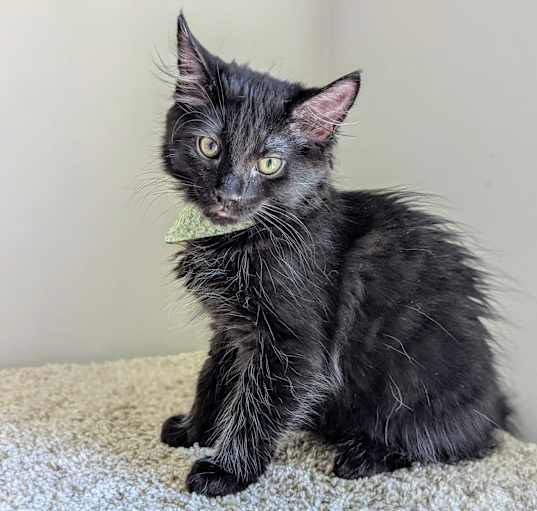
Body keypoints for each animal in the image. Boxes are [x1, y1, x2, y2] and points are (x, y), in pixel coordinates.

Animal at [157, 15, 508, 496]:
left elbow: (256, 407)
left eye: (269, 164)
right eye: (209, 147)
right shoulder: (231, 328)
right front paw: (195, 429)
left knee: (444, 442)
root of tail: (494, 403)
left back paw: (363, 454)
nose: (228, 194)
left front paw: (228, 470)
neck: (239, 241)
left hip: (417, 384)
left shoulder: (293, 348)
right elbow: (215, 379)